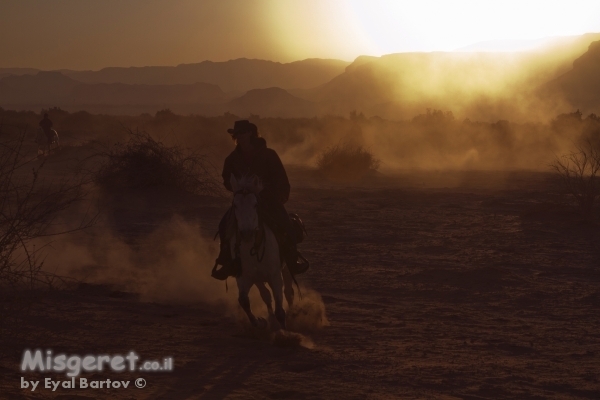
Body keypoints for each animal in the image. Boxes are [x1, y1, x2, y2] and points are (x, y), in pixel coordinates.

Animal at [227, 173, 292, 330]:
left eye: (255, 204)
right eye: (235, 205)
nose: (247, 233)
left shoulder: (275, 276)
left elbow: (280, 309)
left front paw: (284, 330)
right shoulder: (245, 277)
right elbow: (245, 300)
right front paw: (259, 322)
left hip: (285, 268)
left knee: (289, 292)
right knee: (266, 295)